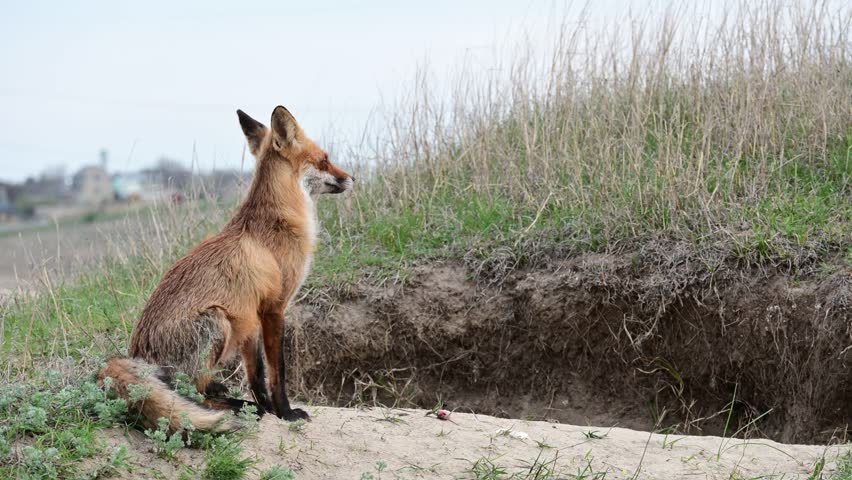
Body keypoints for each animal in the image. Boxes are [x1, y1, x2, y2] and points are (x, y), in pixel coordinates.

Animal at [96, 107, 352, 434]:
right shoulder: (274, 309)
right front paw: (285, 412)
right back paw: (236, 407)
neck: (278, 222)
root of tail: (138, 356)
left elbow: (256, 376)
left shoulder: (252, 317)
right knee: (192, 392)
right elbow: (277, 373)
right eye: (324, 159)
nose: (352, 178)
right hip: (218, 321)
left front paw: (268, 408)